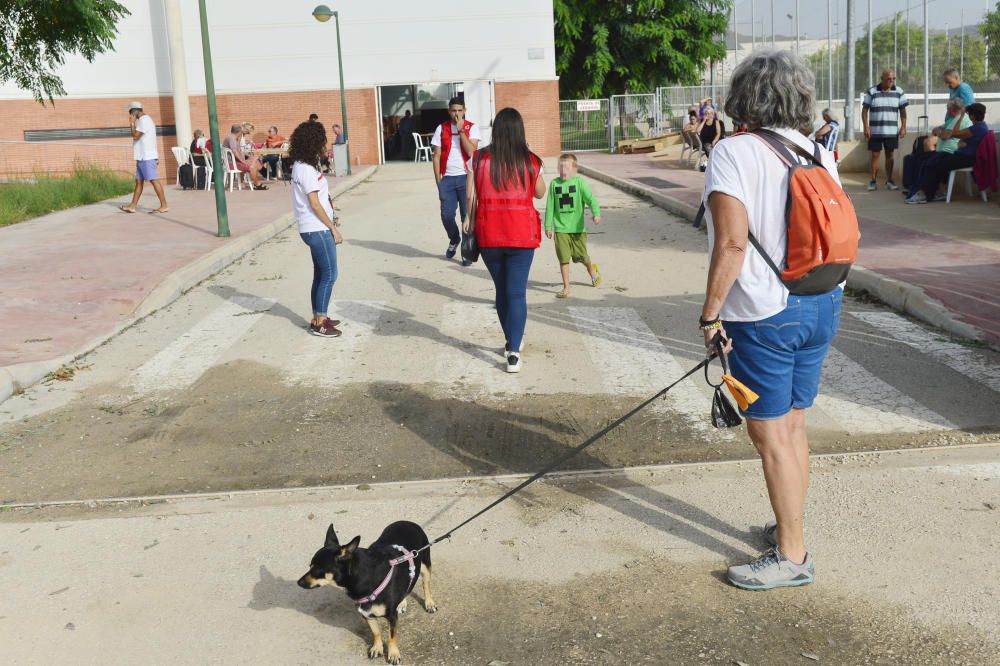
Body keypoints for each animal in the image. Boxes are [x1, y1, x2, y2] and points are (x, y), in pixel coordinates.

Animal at [296, 520, 438, 660]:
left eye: (316, 570)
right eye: (309, 566)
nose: (299, 582)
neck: (364, 577)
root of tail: (407, 522)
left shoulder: (391, 617)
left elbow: (391, 636)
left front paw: (393, 654)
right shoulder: (367, 614)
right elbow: (376, 632)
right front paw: (377, 648)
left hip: (425, 566)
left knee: (426, 585)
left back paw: (429, 603)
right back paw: (402, 603)